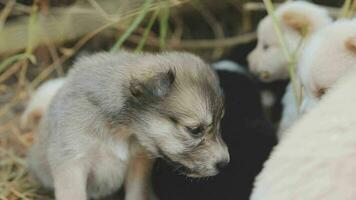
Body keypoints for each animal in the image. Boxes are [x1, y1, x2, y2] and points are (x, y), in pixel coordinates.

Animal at [27, 51, 228, 200]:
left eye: (220, 122)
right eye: (195, 130)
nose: (225, 163)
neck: (119, 129)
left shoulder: (138, 164)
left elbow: (137, 194)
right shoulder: (72, 164)